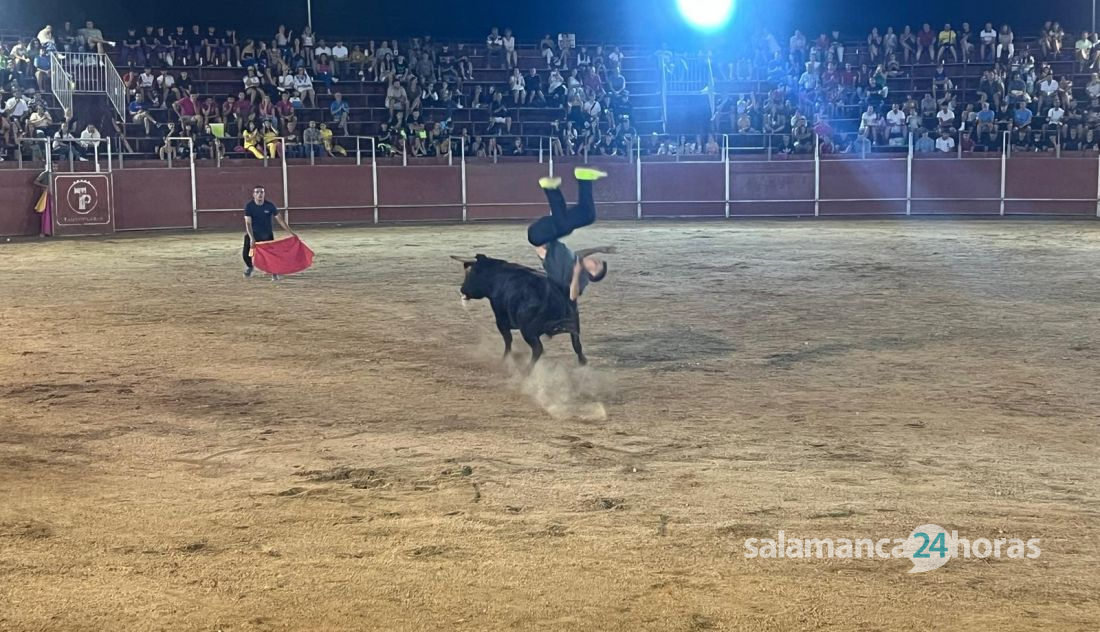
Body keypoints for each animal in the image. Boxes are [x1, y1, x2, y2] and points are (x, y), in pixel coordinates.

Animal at [453, 254, 585, 364]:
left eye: (470, 273)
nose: (462, 289)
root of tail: (555, 292)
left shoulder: (501, 320)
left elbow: (508, 340)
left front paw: (505, 358)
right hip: (573, 323)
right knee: (577, 344)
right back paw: (582, 363)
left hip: (528, 330)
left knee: (538, 348)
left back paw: (527, 370)